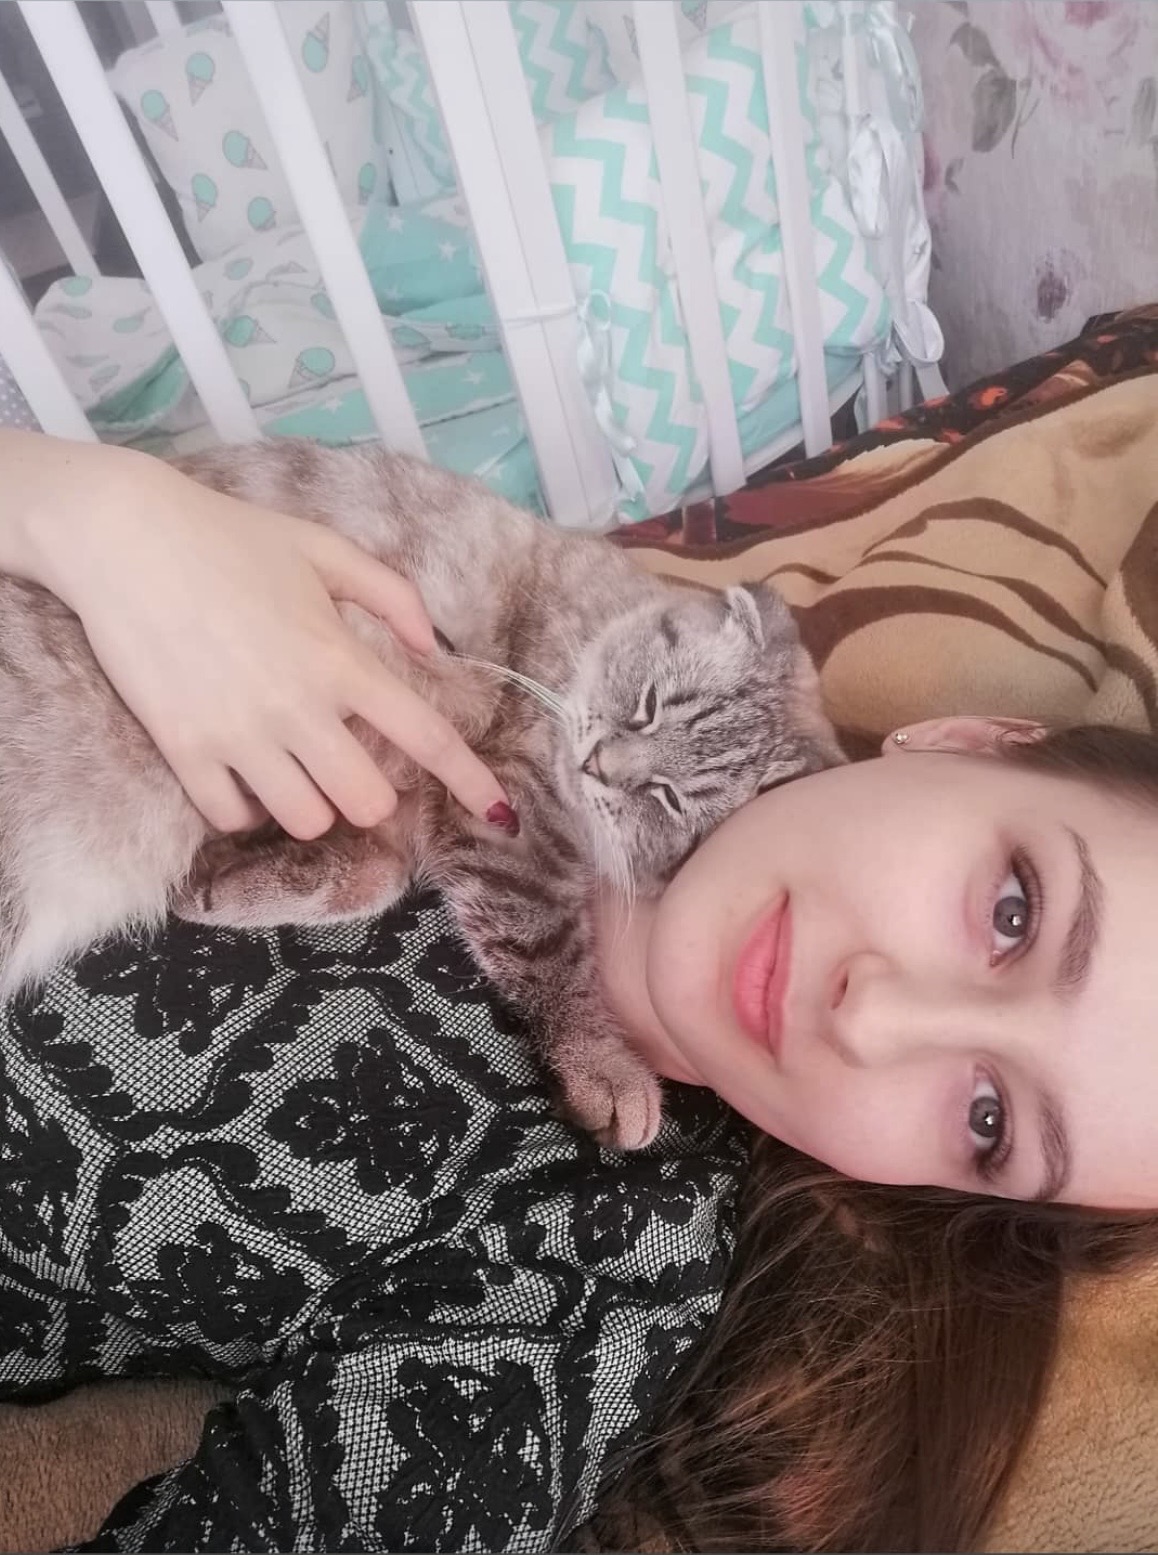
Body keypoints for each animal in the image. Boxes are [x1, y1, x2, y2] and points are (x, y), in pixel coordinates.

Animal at [0, 440, 844, 1148]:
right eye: (649, 705)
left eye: (669, 797)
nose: (603, 764)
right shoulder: (500, 818)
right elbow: (547, 953)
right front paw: (604, 1066)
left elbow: (371, 877)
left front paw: (229, 882)